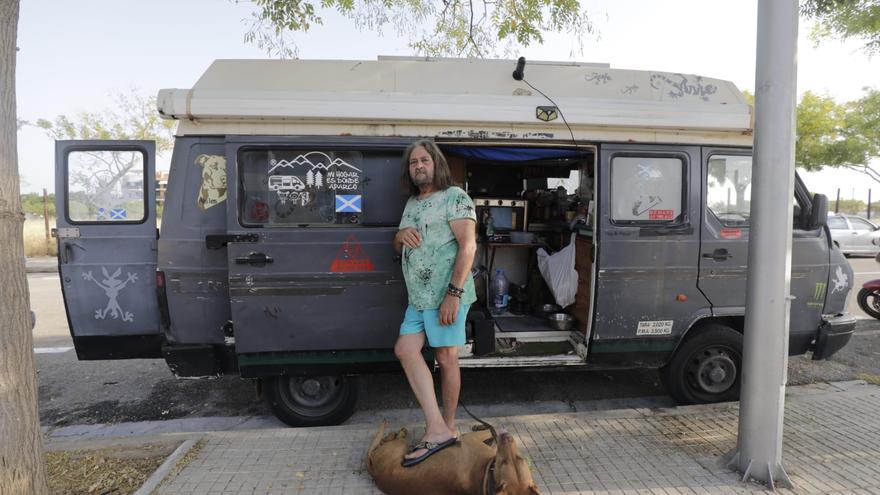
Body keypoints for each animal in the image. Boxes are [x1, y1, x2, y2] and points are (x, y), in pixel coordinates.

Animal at [366, 422, 544, 495]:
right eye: (519, 459)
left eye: (503, 462)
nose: (507, 437)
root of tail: (373, 471)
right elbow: (490, 432)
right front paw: (482, 426)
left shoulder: (471, 440)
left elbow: (491, 432)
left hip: (400, 448)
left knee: (386, 441)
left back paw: (399, 433)